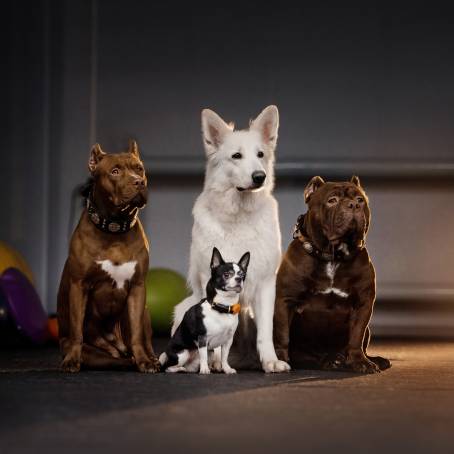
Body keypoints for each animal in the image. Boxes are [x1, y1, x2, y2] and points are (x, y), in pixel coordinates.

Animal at [58, 141, 160, 372]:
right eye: (115, 171)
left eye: (139, 169)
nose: (139, 182)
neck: (114, 229)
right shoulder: (79, 286)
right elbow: (77, 330)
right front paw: (72, 360)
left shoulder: (137, 288)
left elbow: (137, 333)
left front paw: (144, 361)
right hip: (94, 353)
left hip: (146, 311)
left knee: (141, 340)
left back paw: (150, 359)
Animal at [172, 105, 292, 372]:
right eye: (236, 156)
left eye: (260, 154)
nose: (260, 176)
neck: (239, 218)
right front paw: (215, 362)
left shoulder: (266, 284)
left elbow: (265, 332)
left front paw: (270, 361)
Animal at [274, 176, 390, 374]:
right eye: (332, 200)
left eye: (360, 200)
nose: (353, 205)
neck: (333, 256)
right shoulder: (285, 301)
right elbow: (282, 335)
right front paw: (280, 360)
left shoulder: (363, 304)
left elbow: (356, 336)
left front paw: (360, 361)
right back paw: (328, 360)